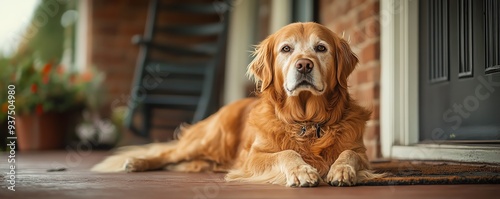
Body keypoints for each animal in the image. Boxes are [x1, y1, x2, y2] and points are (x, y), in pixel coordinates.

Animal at [93, 22, 382, 187]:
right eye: (286, 49)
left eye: (321, 48)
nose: (303, 65)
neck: (306, 122)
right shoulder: (254, 156)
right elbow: (287, 153)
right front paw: (301, 171)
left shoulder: (362, 153)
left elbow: (349, 153)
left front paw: (342, 170)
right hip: (207, 140)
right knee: (167, 153)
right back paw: (137, 162)